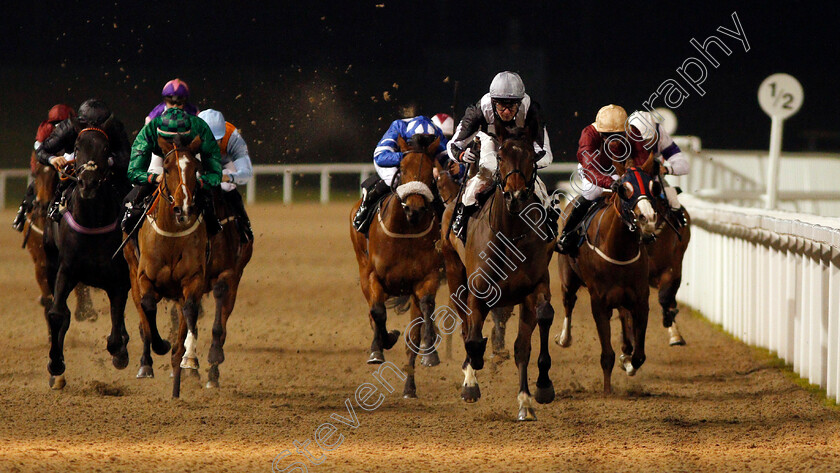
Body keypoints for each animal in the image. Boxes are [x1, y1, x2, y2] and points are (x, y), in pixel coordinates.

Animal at [43, 123, 130, 390]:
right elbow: (57, 313)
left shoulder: (119, 278)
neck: (91, 221)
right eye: (77, 147)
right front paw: (55, 364)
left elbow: (116, 321)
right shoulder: (66, 269)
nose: (88, 183)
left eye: (106, 148)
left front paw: (120, 353)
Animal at [352, 133, 446, 398]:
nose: (414, 208)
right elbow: (378, 312)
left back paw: (409, 387)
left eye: (430, 172)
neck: (405, 231)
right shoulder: (372, 276)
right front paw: (379, 347)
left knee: (412, 336)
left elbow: (425, 309)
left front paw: (430, 352)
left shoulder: (427, 278)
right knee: (373, 313)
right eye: (402, 169)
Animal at [440, 129, 556, 420]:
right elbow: (472, 338)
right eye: (501, 157)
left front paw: (532, 395)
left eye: (532, 157)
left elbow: (526, 342)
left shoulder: (534, 288)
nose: (515, 195)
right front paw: (471, 380)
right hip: (454, 273)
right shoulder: (478, 289)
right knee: (464, 324)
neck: (510, 234)